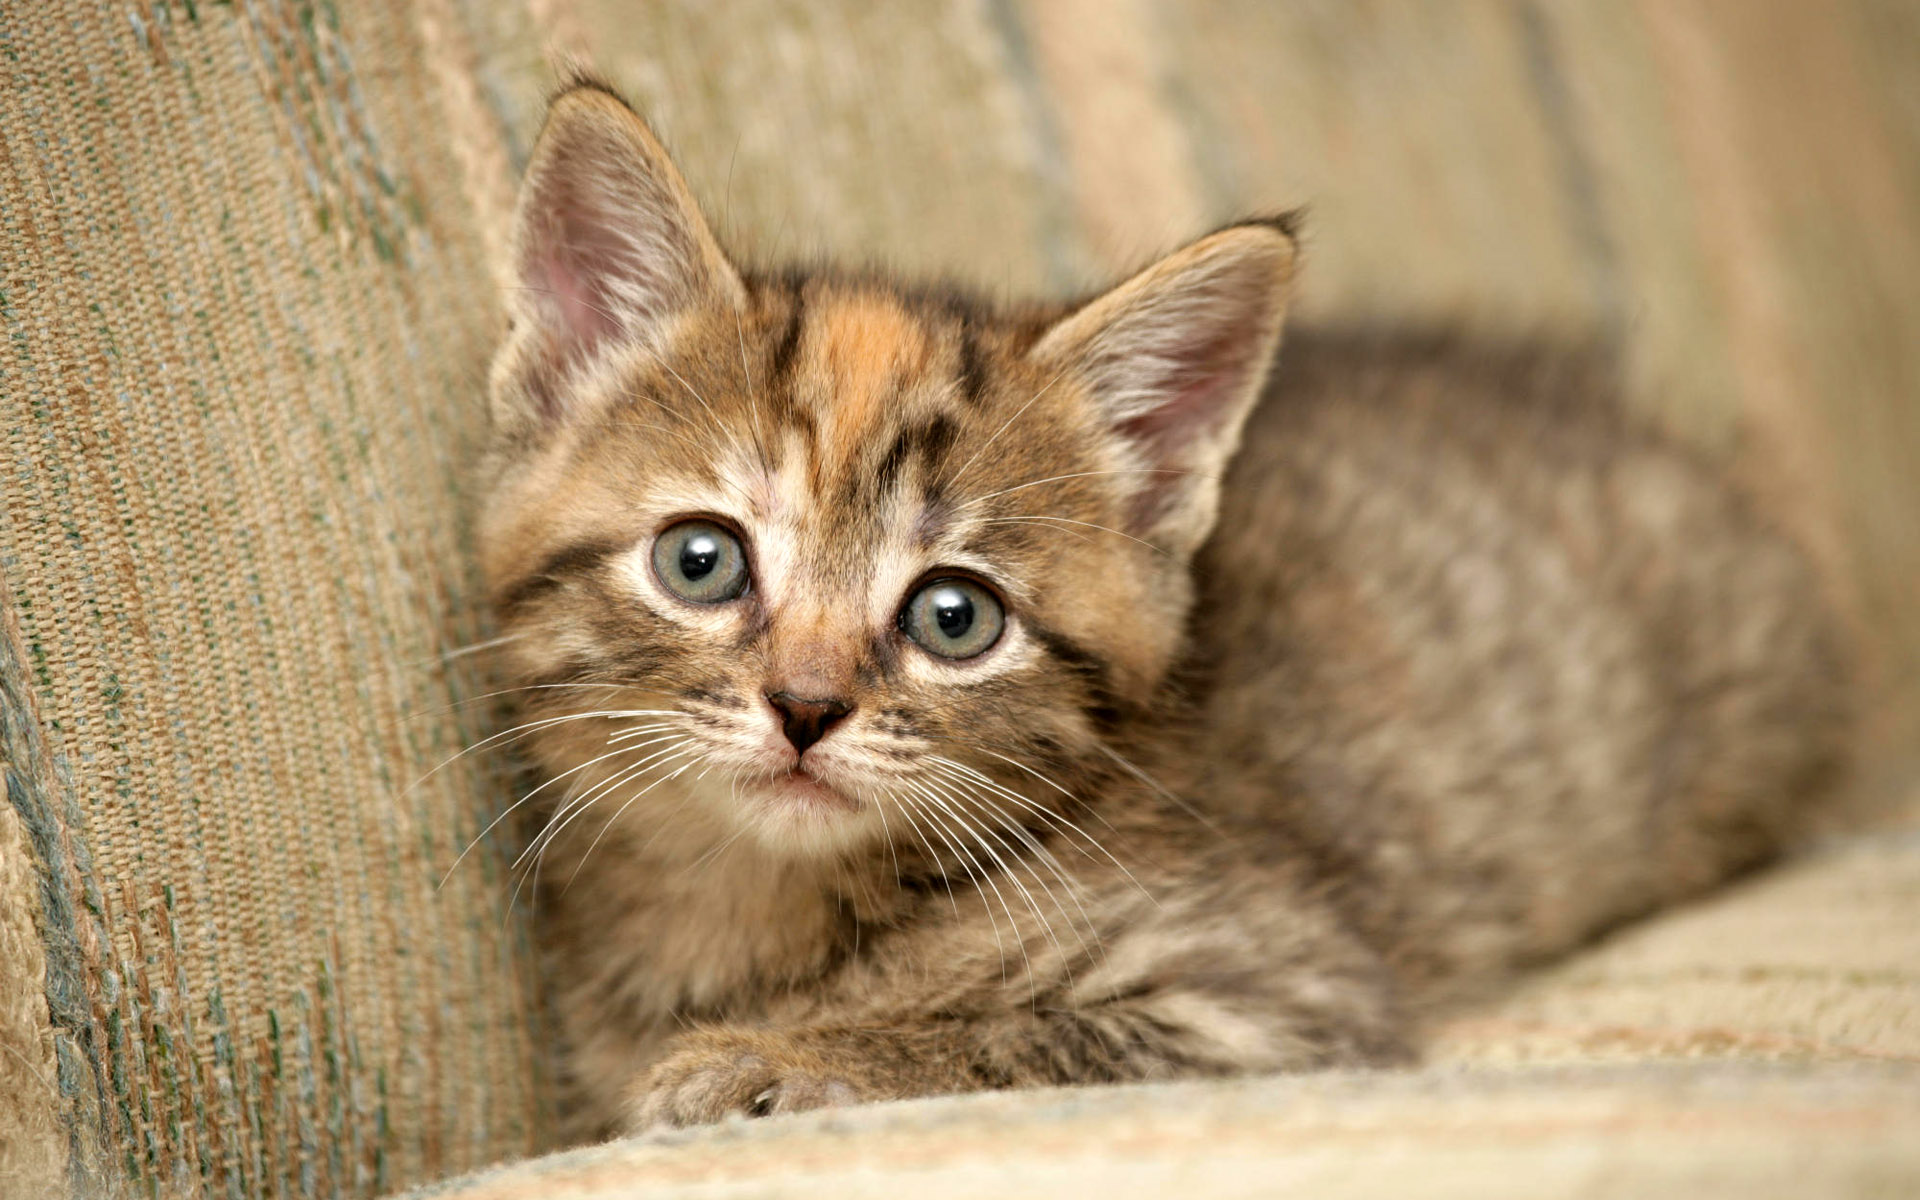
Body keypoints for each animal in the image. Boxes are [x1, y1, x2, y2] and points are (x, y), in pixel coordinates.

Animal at [476, 84, 1843, 1128]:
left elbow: (992, 1035)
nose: (806, 707)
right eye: (702, 561)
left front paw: (775, 1057)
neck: (753, 901)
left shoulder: (1271, 994)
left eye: (954, 618)